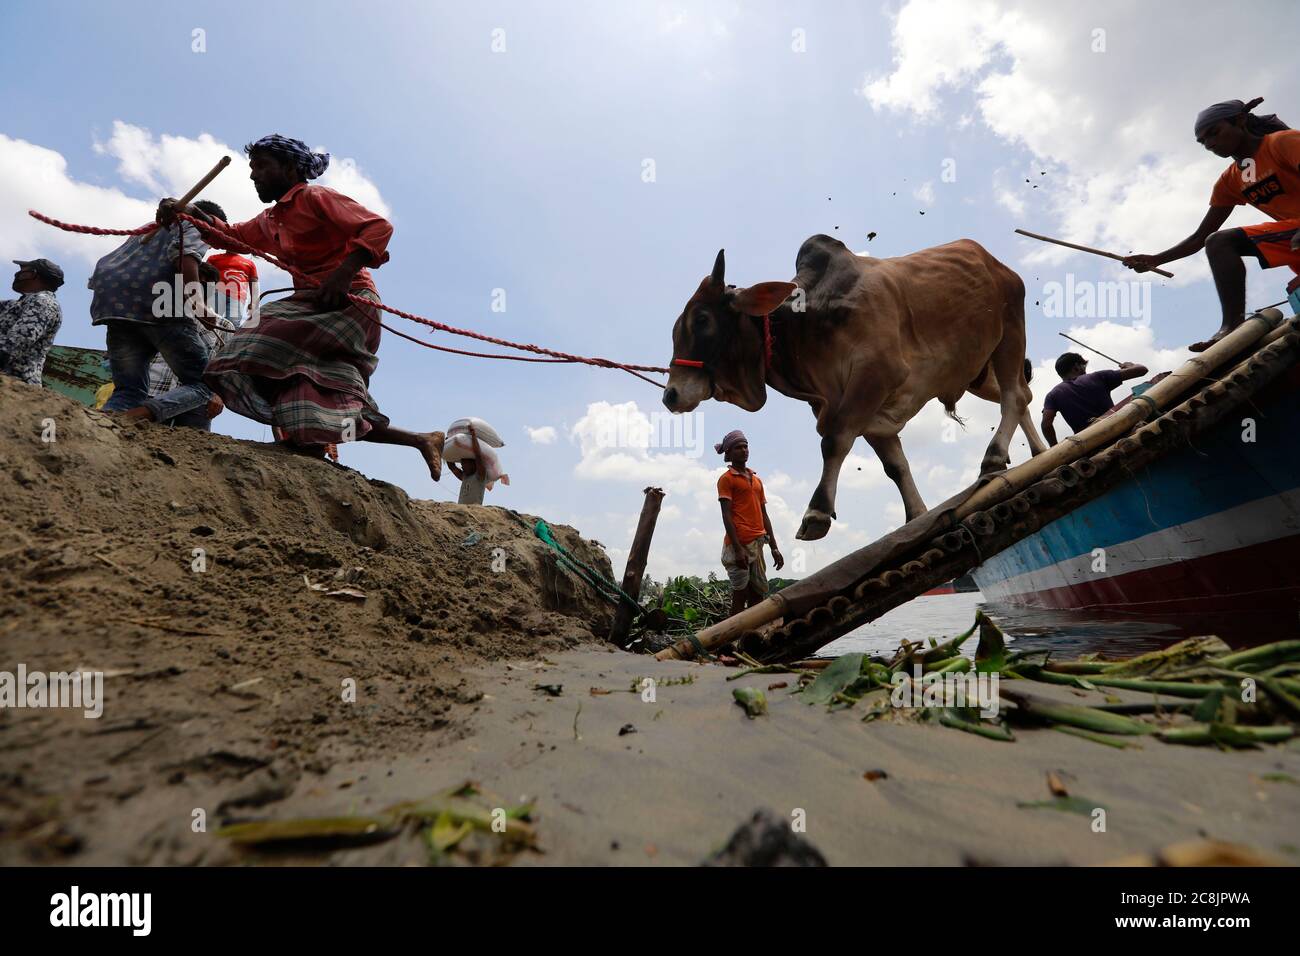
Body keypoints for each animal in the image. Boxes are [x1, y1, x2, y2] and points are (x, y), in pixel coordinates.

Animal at [665, 236, 1050, 541]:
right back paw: (1039, 451)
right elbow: (896, 467)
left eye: (702, 319)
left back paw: (995, 457)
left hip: (1009, 334)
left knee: (1015, 397)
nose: (671, 394)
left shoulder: (876, 376)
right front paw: (917, 515)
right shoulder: (868, 414)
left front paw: (817, 513)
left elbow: (833, 442)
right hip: (978, 372)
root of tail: (997, 265)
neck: (807, 319)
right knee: (1022, 396)